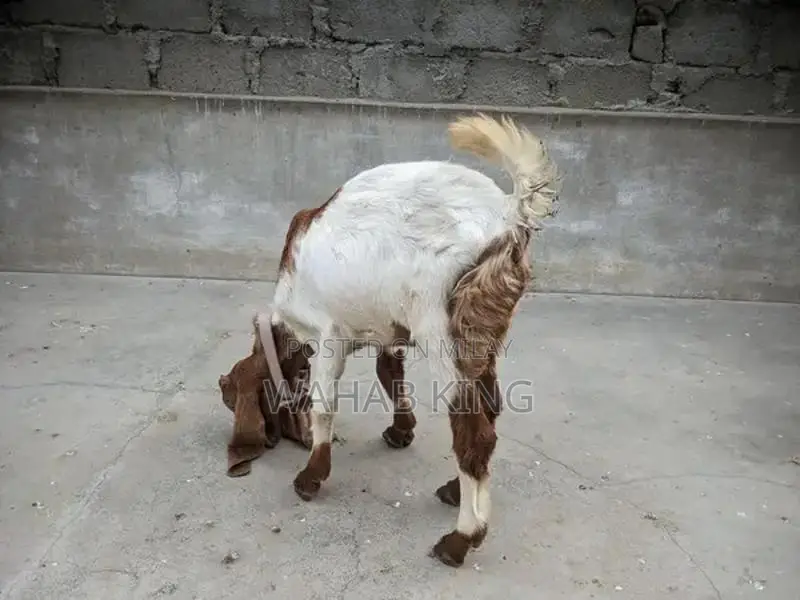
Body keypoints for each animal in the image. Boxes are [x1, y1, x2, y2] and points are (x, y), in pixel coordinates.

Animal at [256, 113, 559, 567]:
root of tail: (507, 216)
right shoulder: (389, 328)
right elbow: (389, 372)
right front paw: (401, 431)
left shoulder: (329, 335)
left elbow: (324, 404)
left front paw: (311, 476)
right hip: (479, 334)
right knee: (489, 406)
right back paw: (455, 491)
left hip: (442, 330)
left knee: (473, 432)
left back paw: (461, 539)